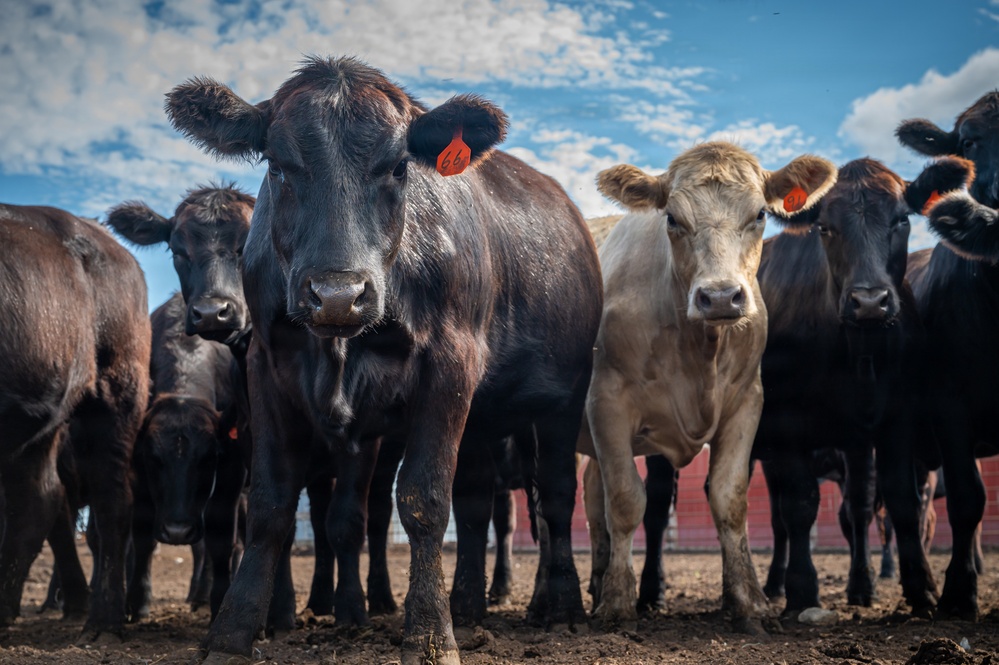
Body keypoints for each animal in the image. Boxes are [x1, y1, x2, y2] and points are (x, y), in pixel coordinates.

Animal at [164, 56, 602, 664]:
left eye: (398, 168)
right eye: (277, 166)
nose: (337, 293)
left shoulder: (451, 364)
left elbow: (422, 499)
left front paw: (429, 636)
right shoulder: (268, 369)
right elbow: (271, 507)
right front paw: (231, 633)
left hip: (562, 400)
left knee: (555, 498)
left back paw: (559, 606)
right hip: (484, 421)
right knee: (476, 505)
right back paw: (469, 604)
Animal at [578, 141, 837, 633]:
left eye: (760, 214)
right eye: (672, 219)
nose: (720, 296)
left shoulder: (746, 404)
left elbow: (729, 498)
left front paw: (750, 602)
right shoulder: (607, 404)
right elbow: (626, 500)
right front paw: (619, 603)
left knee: (592, 494)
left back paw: (599, 580)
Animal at [754, 157, 972, 619]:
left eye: (902, 220)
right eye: (824, 227)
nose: (870, 301)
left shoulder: (896, 419)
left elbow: (899, 502)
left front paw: (921, 589)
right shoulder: (784, 423)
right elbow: (799, 506)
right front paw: (802, 591)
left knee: (858, 507)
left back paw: (861, 584)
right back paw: (772, 585)